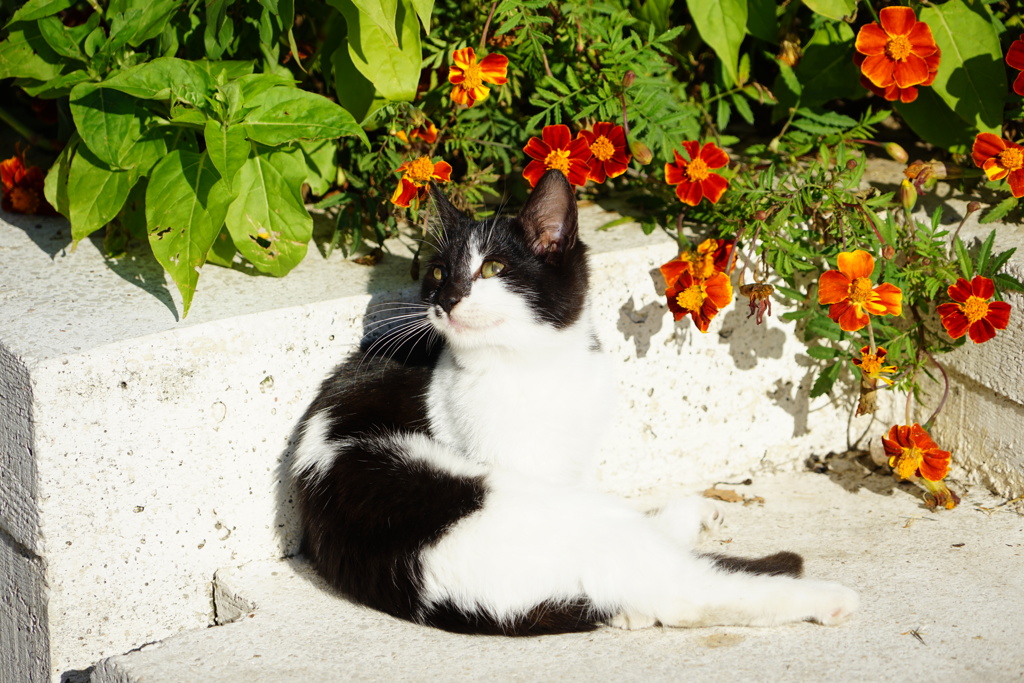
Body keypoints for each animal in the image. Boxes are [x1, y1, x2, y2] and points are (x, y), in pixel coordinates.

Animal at [290, 169, 856, 634]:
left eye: (492, 268)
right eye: (437, 273)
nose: (445, 299)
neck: (535, 366)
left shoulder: (579, 455)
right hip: (566, 516)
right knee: (685, 593)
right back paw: (824, 598)